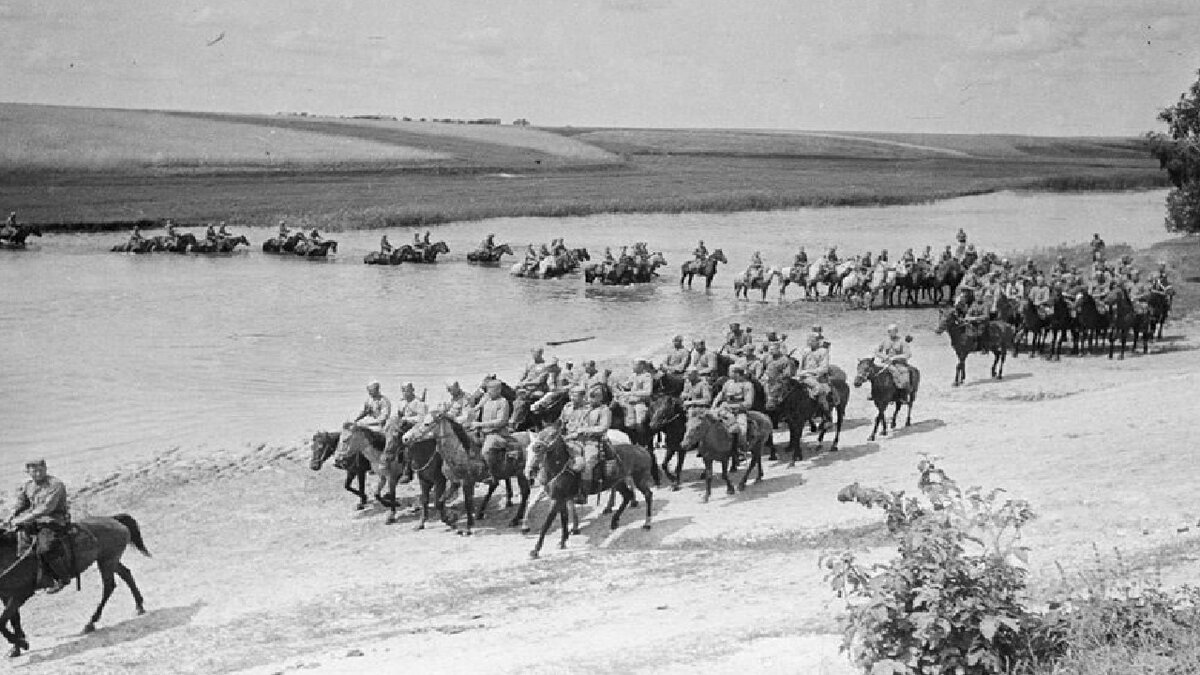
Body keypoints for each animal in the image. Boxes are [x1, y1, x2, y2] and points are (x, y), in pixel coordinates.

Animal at [0, 514, 150, 653]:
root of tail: (113, 519)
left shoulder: (22, 594)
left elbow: (3, 621)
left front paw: (22, 643)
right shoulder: (7, 595)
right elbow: (13, 619)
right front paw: (17, 647)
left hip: (107, 561)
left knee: (109, 586)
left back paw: (90, 623)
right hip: (109, 560)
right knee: (126, 574)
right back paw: (139, 606)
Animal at [525, 420, 657, 557]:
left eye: (553, 434)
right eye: (540, 433)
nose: (536, 447)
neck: (561, 468)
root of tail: (642, 449)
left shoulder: (557, 500)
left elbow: (546, 524)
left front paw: (535, 550)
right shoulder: (562, 499)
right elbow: (564, 519)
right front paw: (563, 541)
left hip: (639, 479)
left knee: (648, 495)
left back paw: (647, 523)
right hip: (619, 482)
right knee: (627, 496)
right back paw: (614, 521)